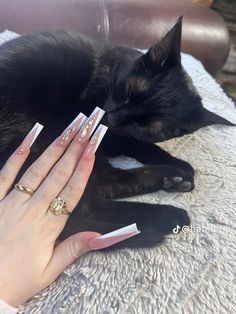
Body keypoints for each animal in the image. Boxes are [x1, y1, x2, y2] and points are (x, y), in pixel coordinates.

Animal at [0, 17, 232, 249]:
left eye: (146, 127)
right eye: (128, 92)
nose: (112, 119)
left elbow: (138, 142)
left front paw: (177, 164)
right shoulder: (102, 131)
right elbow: (136, 144)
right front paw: (179, 163)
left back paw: (173, 179)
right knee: (91, 203)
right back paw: (169, 214)